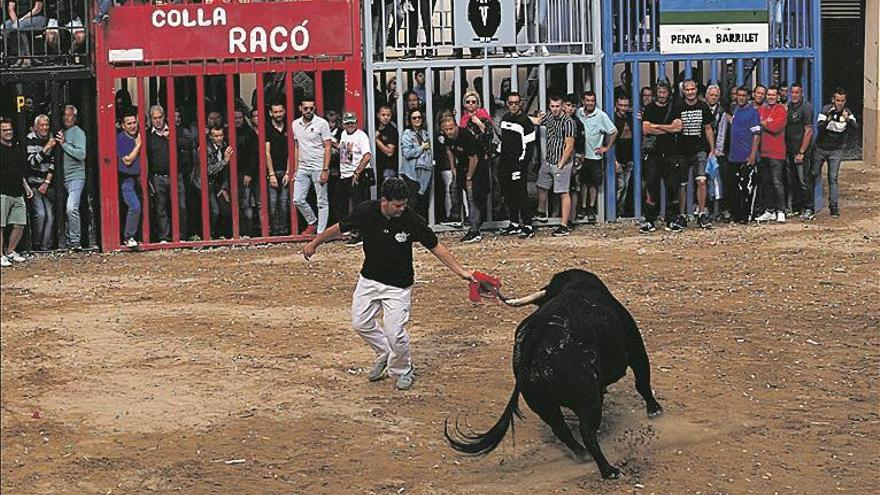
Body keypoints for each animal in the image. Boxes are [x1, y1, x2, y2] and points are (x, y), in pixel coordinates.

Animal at [444, 272, 664, 480]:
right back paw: (609, 470)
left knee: (560, 429)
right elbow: (643, 383)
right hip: (587, 398)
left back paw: (582, 454)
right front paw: (655, 410)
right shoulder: (636, 350)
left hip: (542, 404)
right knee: (587, 432)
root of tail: (535, 335)